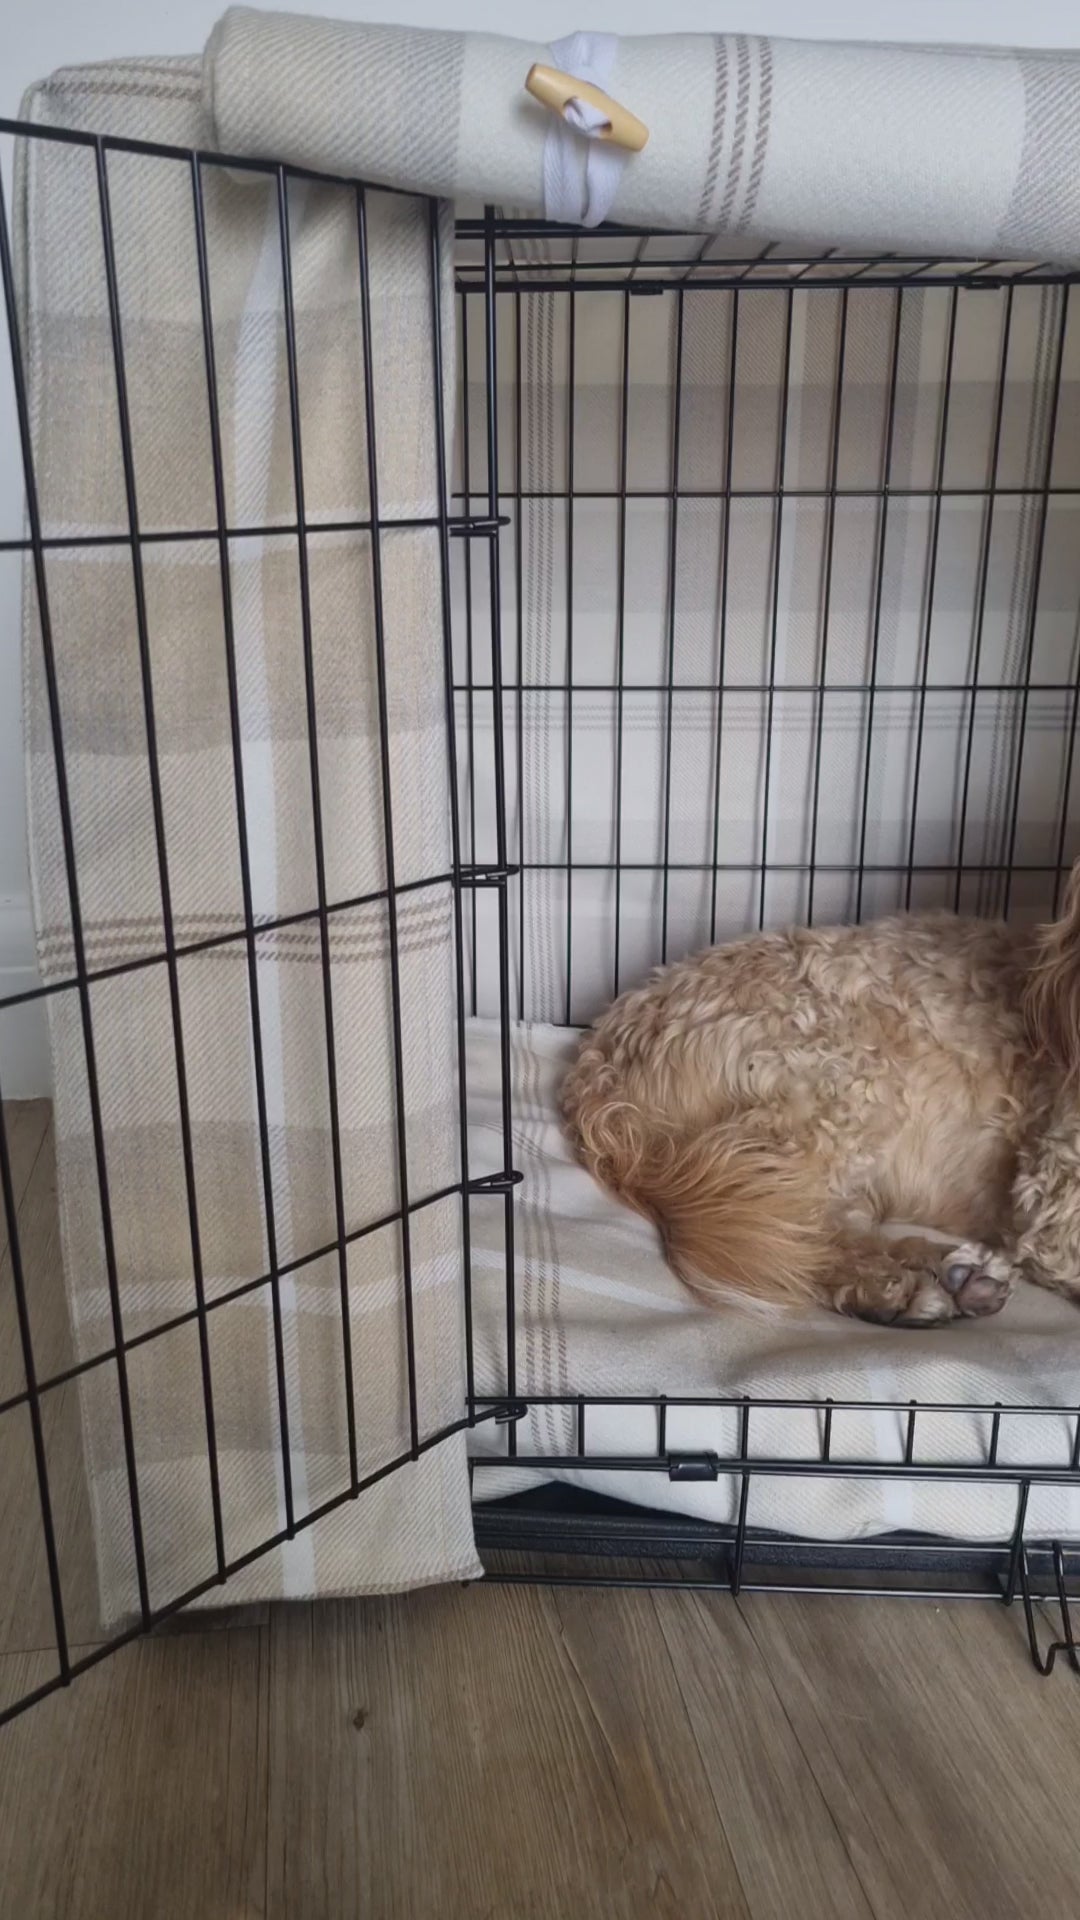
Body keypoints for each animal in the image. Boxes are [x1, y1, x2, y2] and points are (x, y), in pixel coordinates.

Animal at [557, 867, 1076, 1328]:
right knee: (790, 1229)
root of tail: (599, 1060)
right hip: (838, 1084)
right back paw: (896, 1287)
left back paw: (947, 1272)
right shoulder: (1053, 1206)